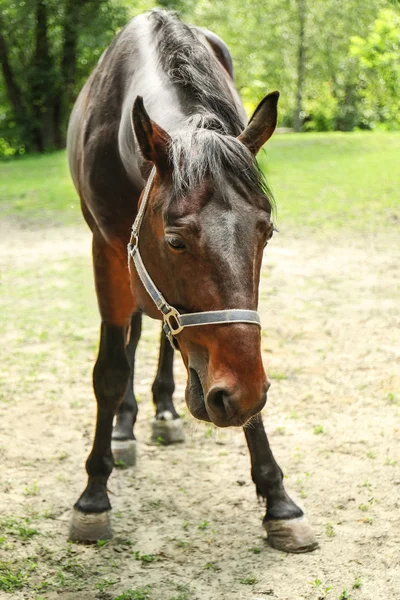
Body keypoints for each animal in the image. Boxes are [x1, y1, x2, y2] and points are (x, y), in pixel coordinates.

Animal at [67, 8, 318, 552]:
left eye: (266, 232)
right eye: (176, 241)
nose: (232, 393)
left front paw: (279, 501)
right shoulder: (107, 249)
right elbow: (111, 369)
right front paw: (94, 496)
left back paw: (163, 409)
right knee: (137, 335)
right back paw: (126, 428)